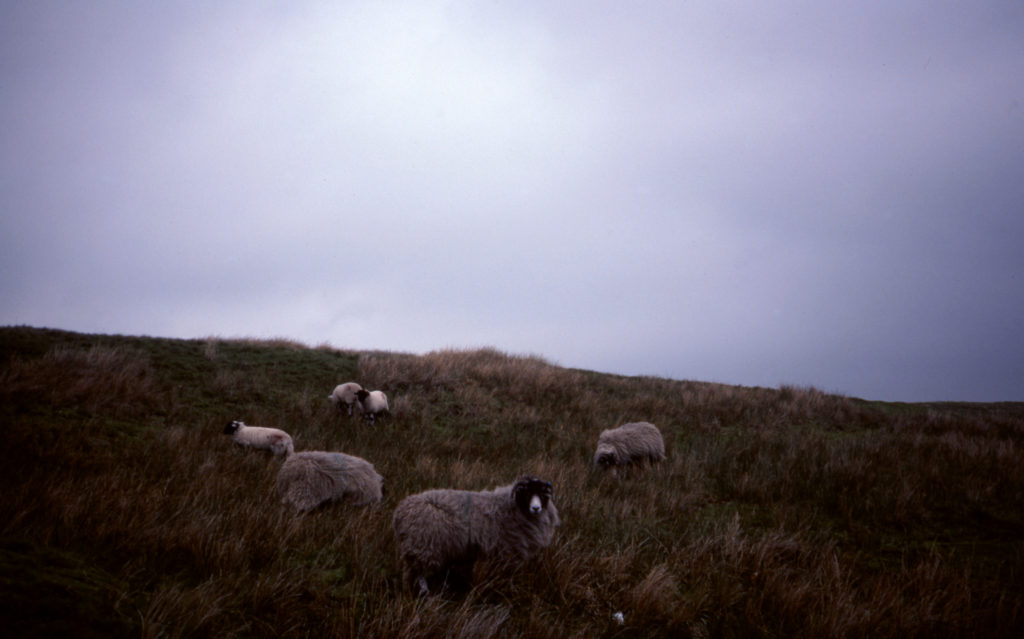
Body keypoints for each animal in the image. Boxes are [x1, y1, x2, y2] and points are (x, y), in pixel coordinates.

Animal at [391, 471, 561, 598]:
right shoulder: (506, 552)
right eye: (526, 493)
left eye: (542, 494)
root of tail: (400, 512)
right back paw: (424, 594)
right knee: (419, 573)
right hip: (424, 545)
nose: (536, 508)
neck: (510, 507)